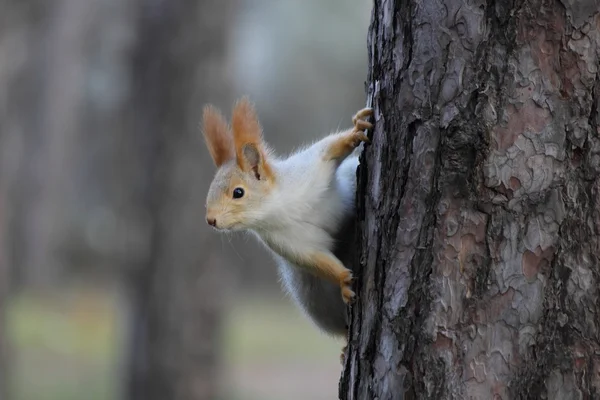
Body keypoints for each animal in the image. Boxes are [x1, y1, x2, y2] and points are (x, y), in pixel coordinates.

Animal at [202, 97, 370, 362]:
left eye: (238, 192)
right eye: (210, 191)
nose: (211, 220)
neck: (278, 208)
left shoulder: (306, 170)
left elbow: (328, 150)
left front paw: (356, 130)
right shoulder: (287, 242)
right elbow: (316, 260)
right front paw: (344, 280)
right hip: (314, 297)